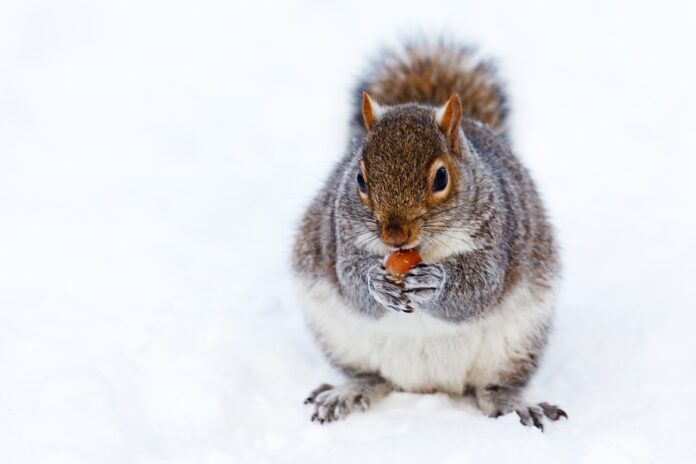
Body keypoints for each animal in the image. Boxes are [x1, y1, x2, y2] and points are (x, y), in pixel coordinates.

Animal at [292, 41, 566, 430]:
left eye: (441, 178)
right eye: (359, 178)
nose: (394, 236)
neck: (421, 249)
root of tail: (429, 384)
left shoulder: (498, 235)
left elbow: (480, 287)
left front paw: (434, 283)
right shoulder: (340, 235)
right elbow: (350, 280)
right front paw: (376, 282)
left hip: (516, 343)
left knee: (494, 387)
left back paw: (515, 405)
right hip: (339, 336)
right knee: (372, 376)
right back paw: (348, 392)